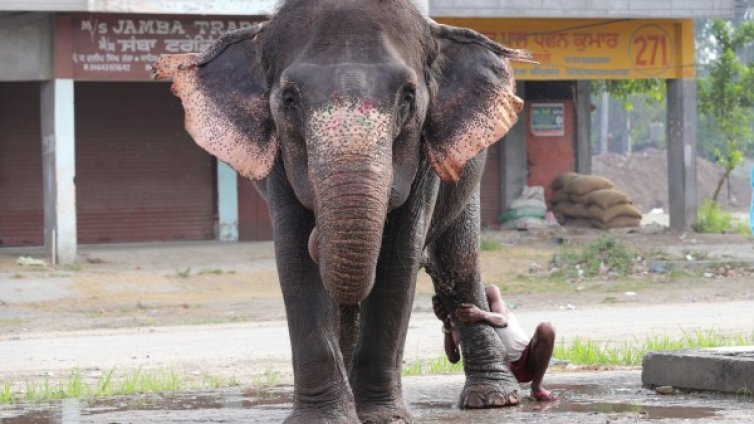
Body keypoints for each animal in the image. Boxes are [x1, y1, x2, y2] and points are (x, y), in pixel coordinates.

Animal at [151, 1, 528, 422]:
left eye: (408, 97)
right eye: (289, 99)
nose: (322, 235)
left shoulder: (424, 153)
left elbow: (399, 255)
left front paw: (382, 417)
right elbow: (294, 254)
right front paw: (325, 418)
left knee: (458, 264)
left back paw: (493, 399)